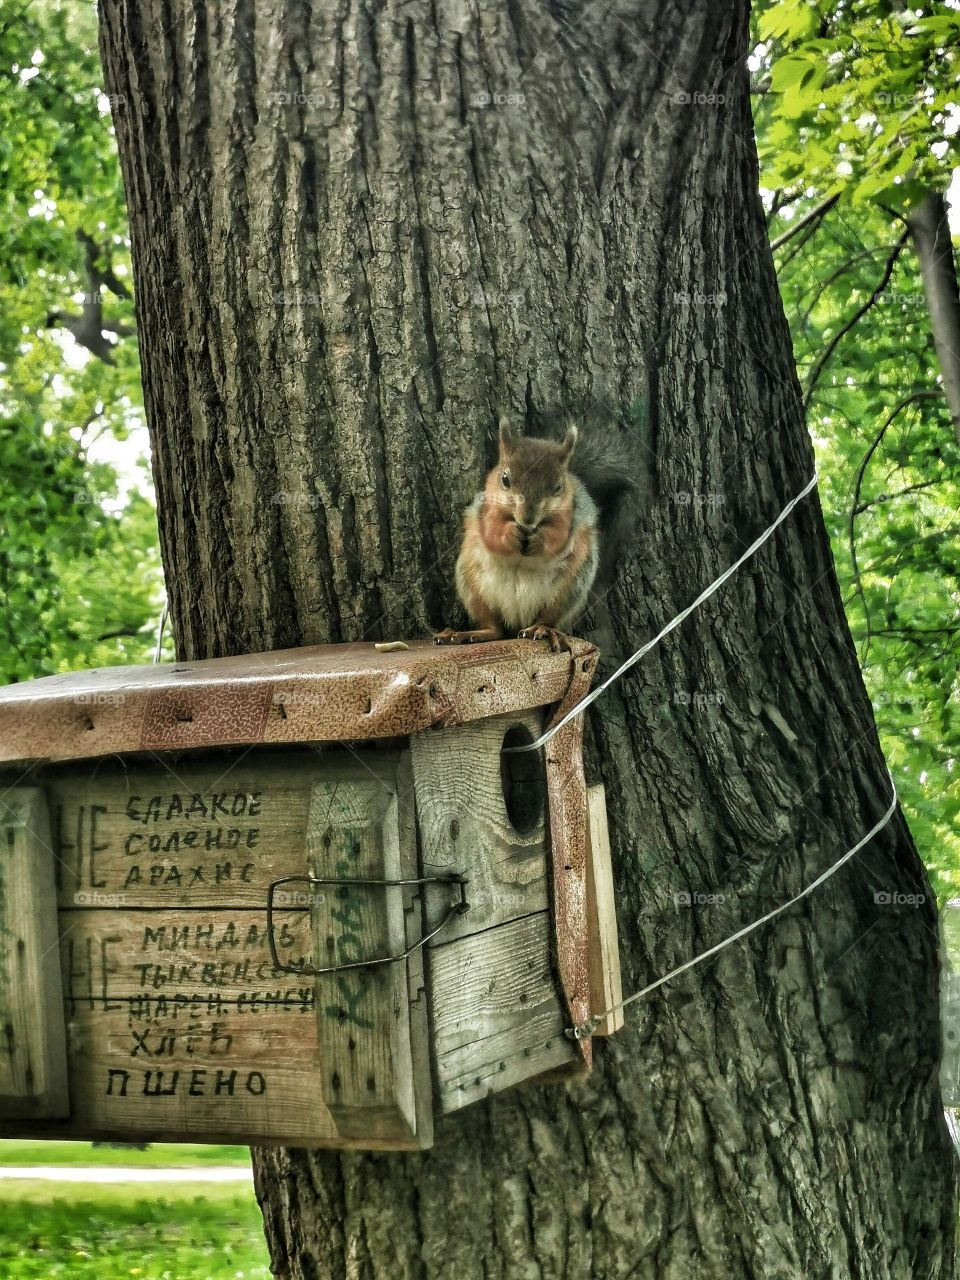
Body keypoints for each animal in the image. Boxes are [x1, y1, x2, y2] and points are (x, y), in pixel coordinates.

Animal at [434, 410, 640, 652]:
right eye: (505, 479)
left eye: (558, 487)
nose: (528, 519)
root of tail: (518, 620)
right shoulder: (483, 510)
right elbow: (492, 532)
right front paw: (509, 534)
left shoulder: (573, 516)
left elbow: (558, 537)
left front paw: (540, 539)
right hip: (472, 585)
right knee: (494, 628)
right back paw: (468, 633)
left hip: (569, 591)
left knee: (547, 618)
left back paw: (542, 630)